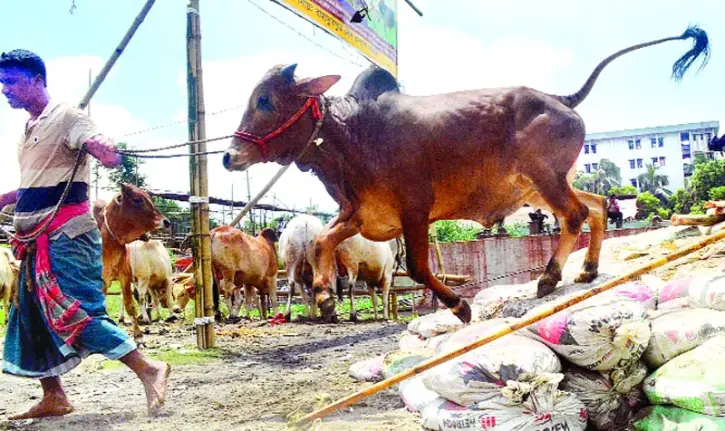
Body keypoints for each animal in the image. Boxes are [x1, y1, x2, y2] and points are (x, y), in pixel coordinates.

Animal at [222, 27, 708, 324]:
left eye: (265, 100)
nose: (229, 156)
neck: (352, 133)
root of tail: (559, 98)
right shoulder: (359, 214)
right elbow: (323, 241)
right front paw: (324, 298)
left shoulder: (415, 210)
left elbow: (418, 268)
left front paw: (459, 307)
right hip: (544, 186)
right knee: (595, 207)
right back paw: (587, 270)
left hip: (545, 180)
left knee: (573, 216)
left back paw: (550, 277)